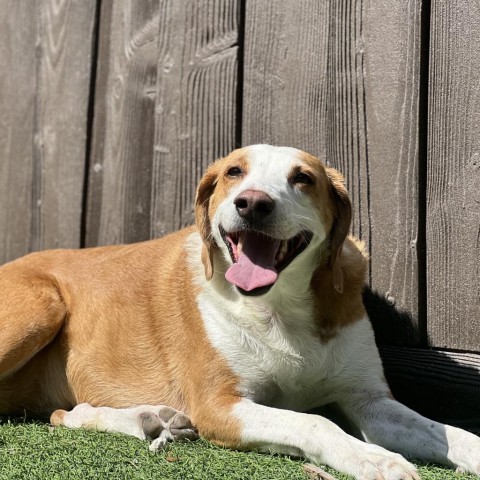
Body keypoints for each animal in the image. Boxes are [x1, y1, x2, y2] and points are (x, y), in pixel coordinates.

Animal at [0, 144, 480, 478]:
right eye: (234, 172)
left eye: (303, 178)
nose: (252, 202)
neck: (278, 307)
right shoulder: (220, 406)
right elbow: (315, 424)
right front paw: (374, 459)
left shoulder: (370, 401)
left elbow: (447, 432)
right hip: (42, 305)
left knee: (62, 415)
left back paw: (148, 418)